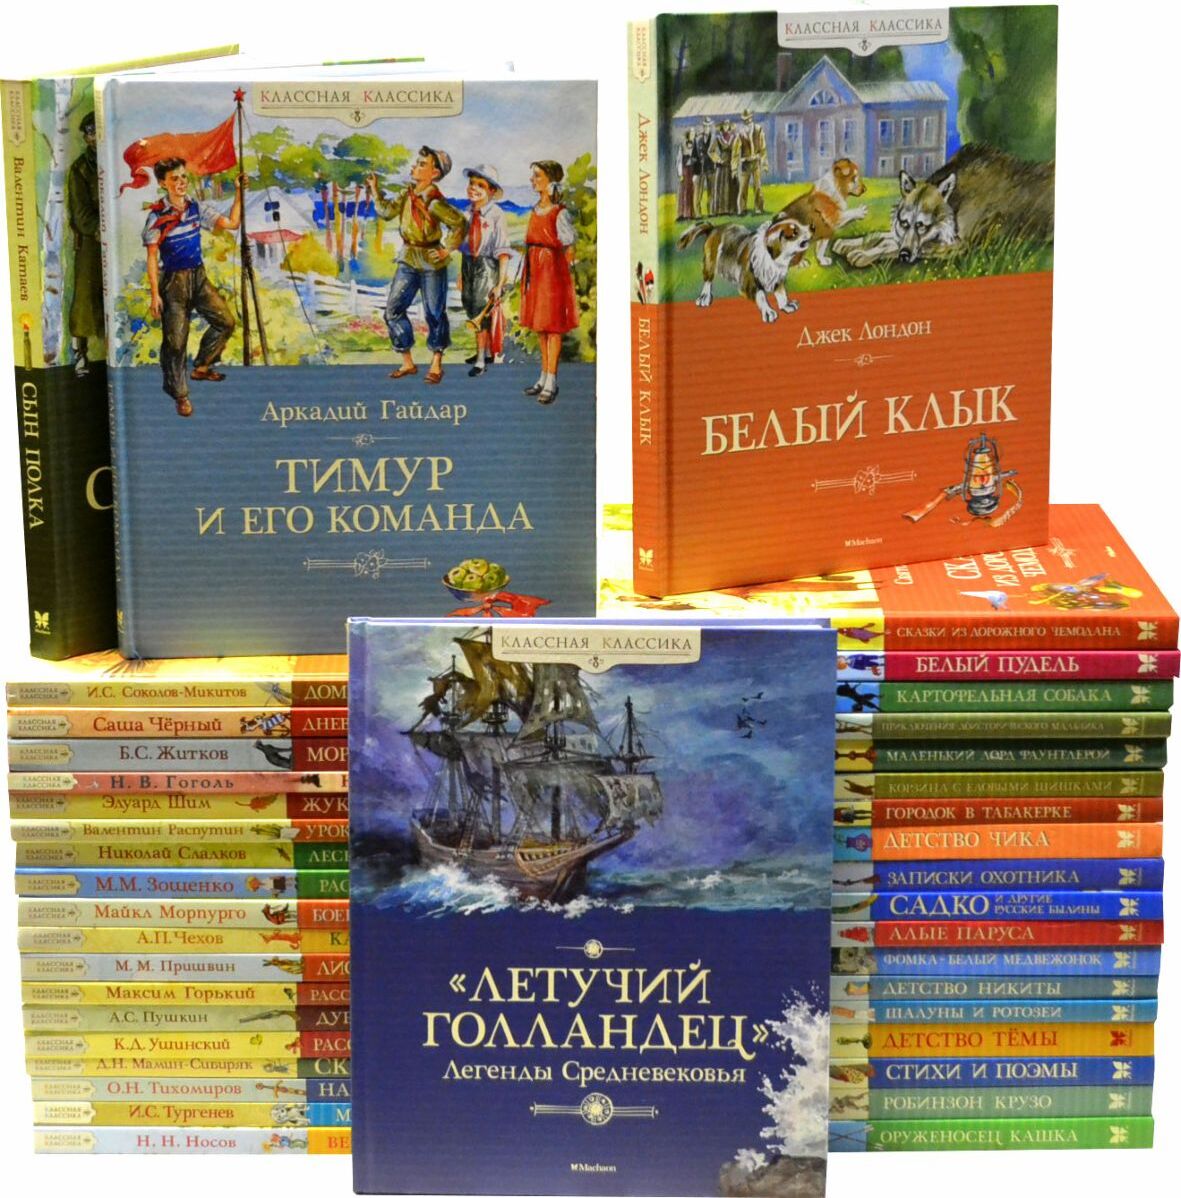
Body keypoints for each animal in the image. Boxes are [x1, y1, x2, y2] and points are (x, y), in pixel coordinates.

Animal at [678, 215, 811, 322]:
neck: (771, 257)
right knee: (707, 280)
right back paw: (704, 297)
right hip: (710, 262)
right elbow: (761, 296)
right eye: (794, 232)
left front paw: (786, 305)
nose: (812, 227)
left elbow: (782, 294)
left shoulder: (777, 278)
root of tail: (713, 228)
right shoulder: (749, 281)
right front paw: (768, 312)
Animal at [835, 143, 1055, 267]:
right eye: (905, 223)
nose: (905, 256)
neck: (957, 203)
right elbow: (880, 236)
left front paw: (864, 253)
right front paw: (850, 243)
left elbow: (895, 246)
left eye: (923, 225)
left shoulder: (959, 245)